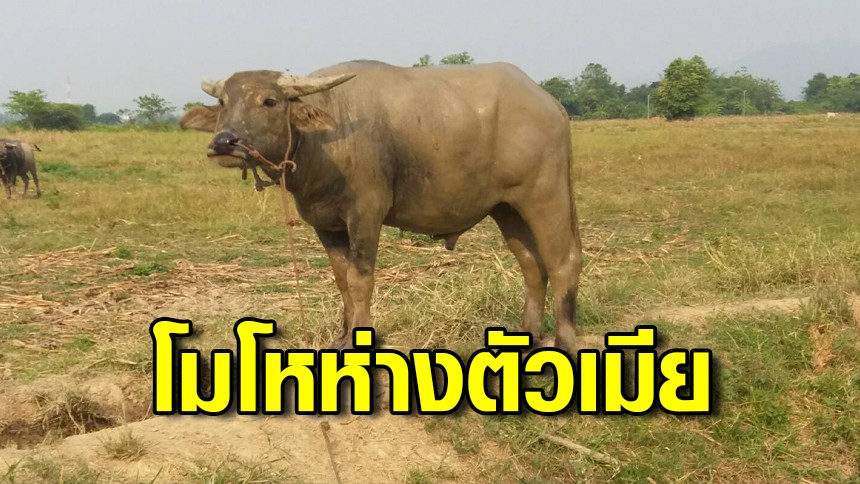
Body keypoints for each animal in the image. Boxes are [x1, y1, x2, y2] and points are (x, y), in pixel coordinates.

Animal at [180, 60, 583, 352]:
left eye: (269, 101)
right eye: (223, 102)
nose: (225, 142)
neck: (323, 142)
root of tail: (551, 104)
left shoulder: (366, 214)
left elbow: (361, 280)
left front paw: (360, 339)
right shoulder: (326, 224)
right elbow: (341, 279)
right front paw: (342, 337)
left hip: (546, 195)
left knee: (563, 261)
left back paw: (565, 342)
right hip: (506, 208)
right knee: (532, 265)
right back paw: (528, 337)